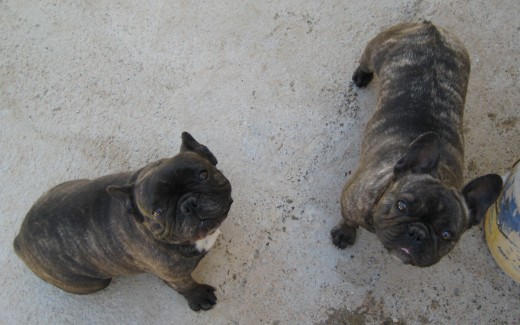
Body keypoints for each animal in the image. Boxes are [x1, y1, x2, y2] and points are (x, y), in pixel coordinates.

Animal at [13, 131, 233, 308]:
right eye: (157, 212)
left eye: (204, 174)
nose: (188, 203)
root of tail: (19, 240)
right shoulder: (173, 275)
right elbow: (186, 284)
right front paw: (198, 296)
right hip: (95, 282)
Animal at [330, 22, 504, 266]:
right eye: (401, 205)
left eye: (447, 235)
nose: (418, 232)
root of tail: (432, 28)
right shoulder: (350, 202)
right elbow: (348, 220)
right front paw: (344, 234)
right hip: (377, 51)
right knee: (366, 60)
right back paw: (361, 75)